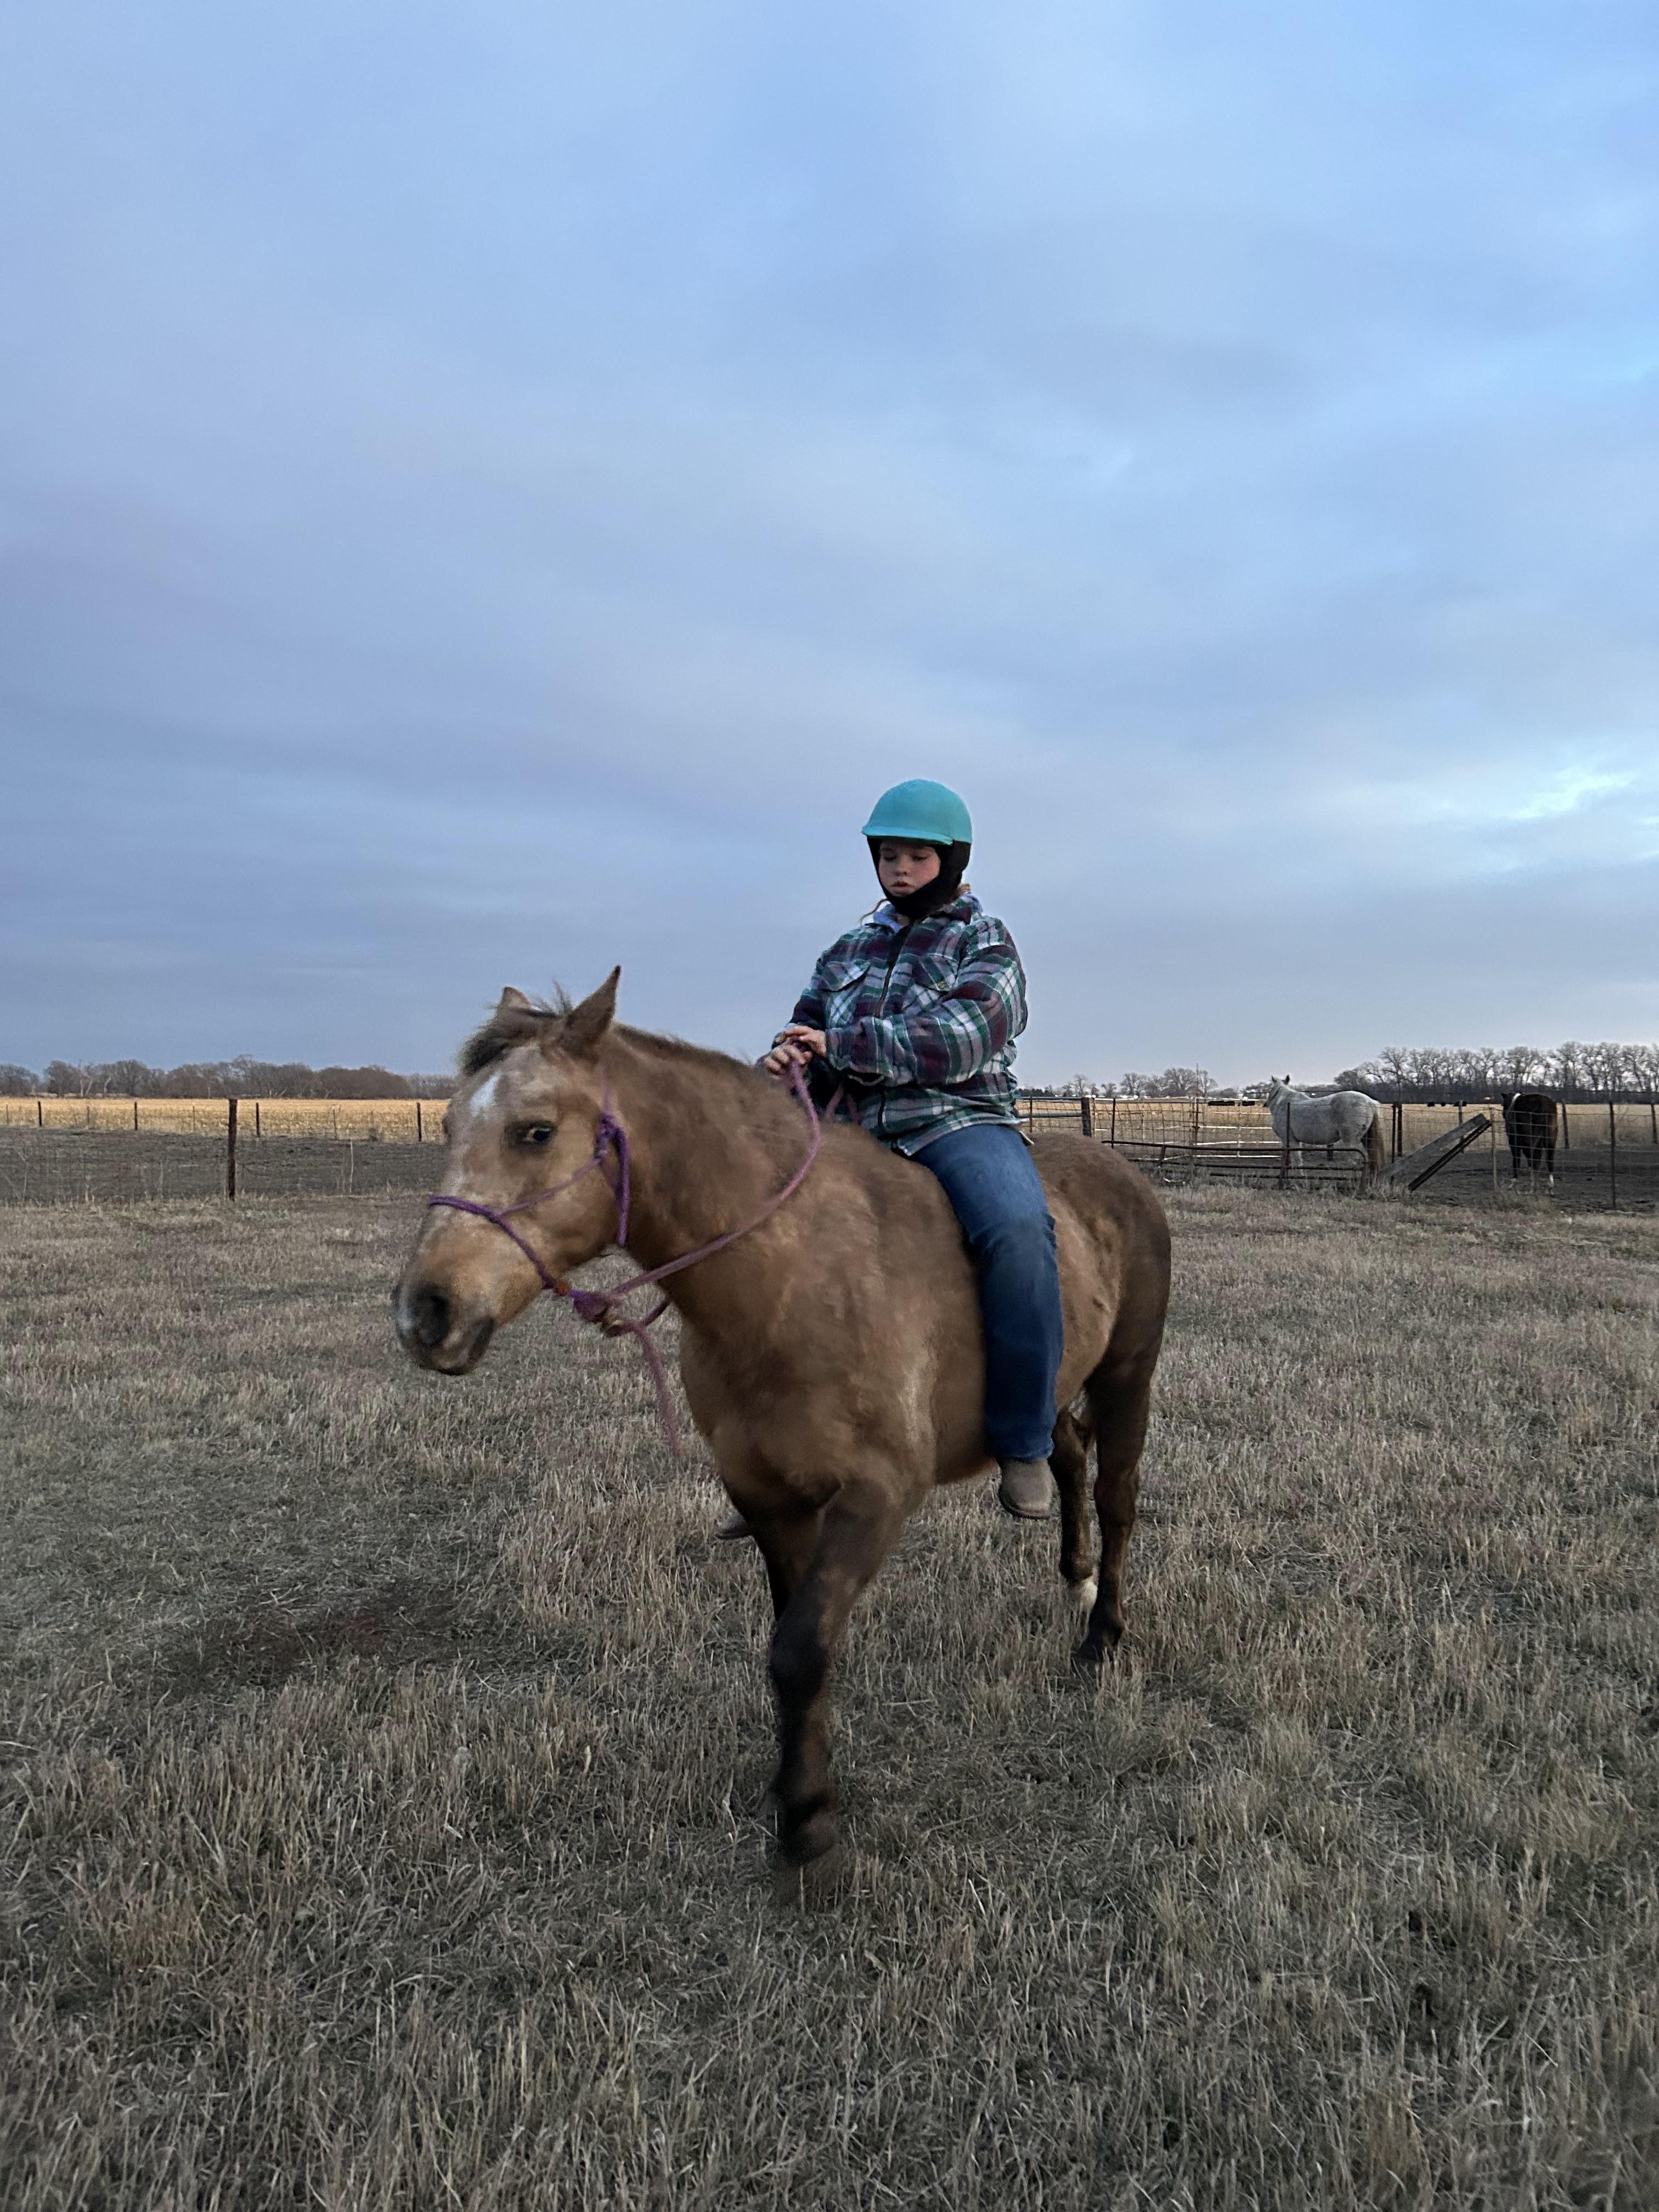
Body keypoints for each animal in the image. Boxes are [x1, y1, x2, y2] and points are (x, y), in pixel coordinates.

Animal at [393, 972, 1171, 1894]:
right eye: (447, 1127)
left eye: (535, 1131)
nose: (425, 1313)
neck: (790, 1278)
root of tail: (1120, 1171)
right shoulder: (768, 1496)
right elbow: (793, 1642)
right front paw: (798, 1786)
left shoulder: (875, 1497)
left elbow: (800, 1647)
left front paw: (807, 1826)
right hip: (1050, 1389)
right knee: (1067, 1457)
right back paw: (1074, 1578)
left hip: (1128, 1375)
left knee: (1118, 1494)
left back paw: (1103, 1633)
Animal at [1264, 1078, 1387, 1178]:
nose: (1265, 1104)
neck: (1283, 1103)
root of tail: (1369, 1102)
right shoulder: (1294, 1142)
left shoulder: (1290, 1141)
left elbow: (1296, 1161)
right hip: (1366, 1139)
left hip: (1352, 1141)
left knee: (1357, 1161)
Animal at [1502, 1090, 1557, 1185]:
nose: (1503, 1114)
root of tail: (1542, 1105)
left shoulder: (1513, 1142)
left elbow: (1517, 1160)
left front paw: (1515, 1179)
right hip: (1550, 1139)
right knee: (1549, 1160)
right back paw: (1549, 1183)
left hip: (1529, 1139)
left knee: (1531, 1158)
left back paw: (1533, 1183)